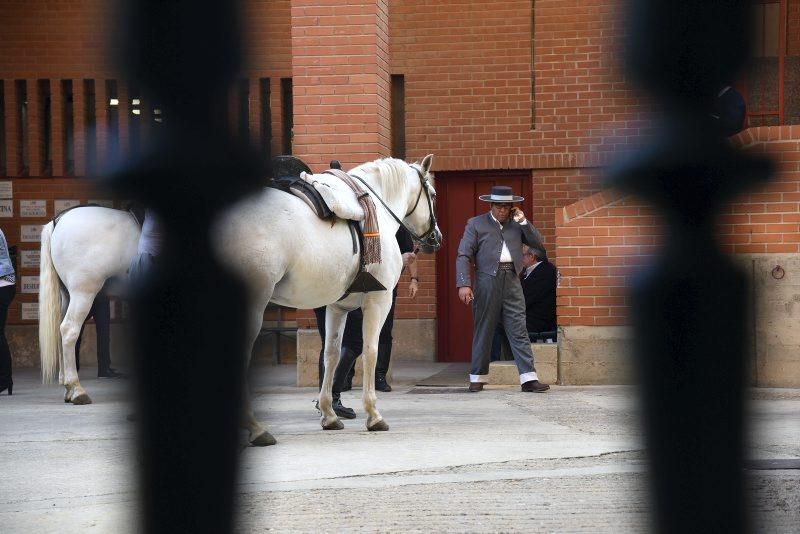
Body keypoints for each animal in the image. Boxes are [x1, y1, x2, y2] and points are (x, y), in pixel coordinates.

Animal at [39, 156, 444, 448]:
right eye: (433, 194)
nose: (435, 238)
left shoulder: (337, 306)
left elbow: (331, 355)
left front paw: (329, 413)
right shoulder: (377, 301)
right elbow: (371, 352)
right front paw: (373, 413)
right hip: (89, 291)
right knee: (70, 330)